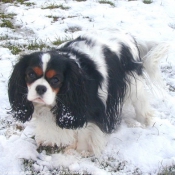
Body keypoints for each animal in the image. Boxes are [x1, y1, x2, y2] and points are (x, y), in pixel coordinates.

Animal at [7, 31, 167, 156]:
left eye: (56, 80)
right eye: (31, 75)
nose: (40, 88)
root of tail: (128, 36)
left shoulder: (88, 110)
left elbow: (85, 131)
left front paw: (80, 151)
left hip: (134, 85)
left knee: (141, 106)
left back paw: (145, 122)